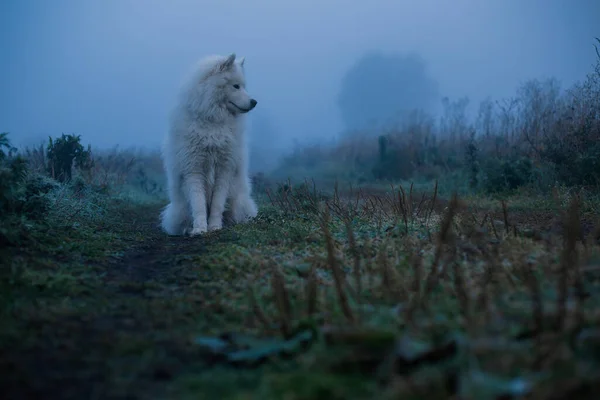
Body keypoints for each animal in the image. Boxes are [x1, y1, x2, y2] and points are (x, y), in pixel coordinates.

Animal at [161, 52, 258, 234]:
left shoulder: (224, 168)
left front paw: (214, 226)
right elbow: (198, 204)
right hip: (180, 206)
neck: (213, 121)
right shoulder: (193, 169)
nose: (254, 102)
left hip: (238, 198)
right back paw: (187, 228)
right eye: (236, 86)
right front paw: (199, 228)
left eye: (244, 86)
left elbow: (217, 204)